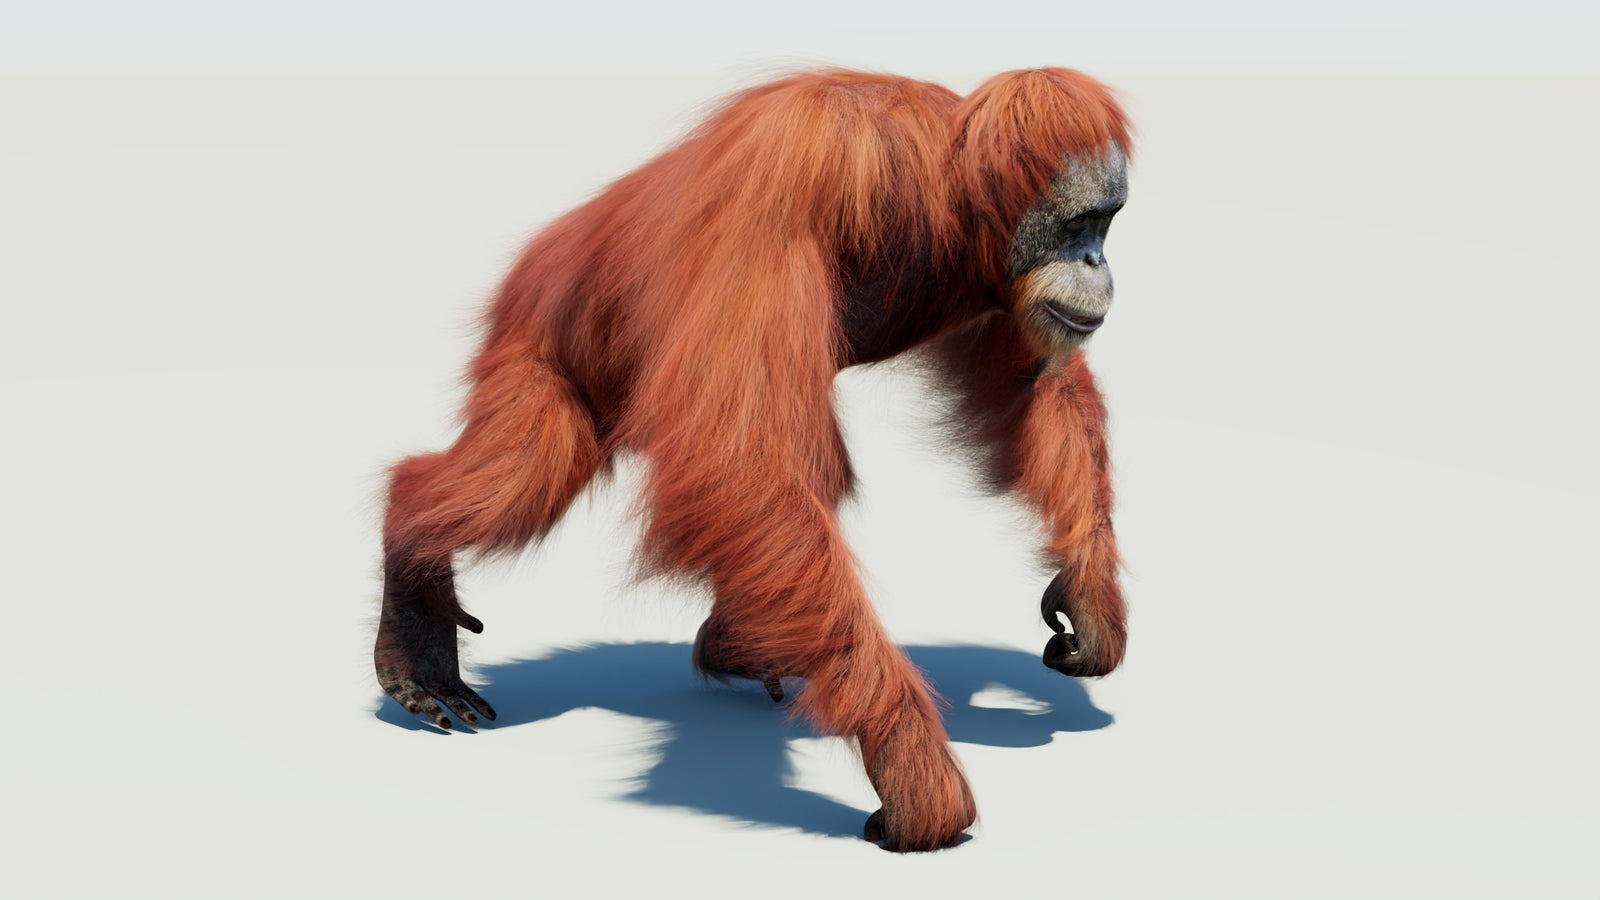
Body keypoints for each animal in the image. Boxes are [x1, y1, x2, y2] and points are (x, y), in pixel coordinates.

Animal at [375, 67, 1131, 852]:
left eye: (1106, 222)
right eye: (1079, 224)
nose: (1097, 261)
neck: (942, 193)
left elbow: (1035, 385)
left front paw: (1090, 592)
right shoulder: (794, 174)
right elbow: (734, 455)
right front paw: (911, 763)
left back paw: (737, 643)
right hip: (540, 337)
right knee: (528, 475)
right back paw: (413, 573)